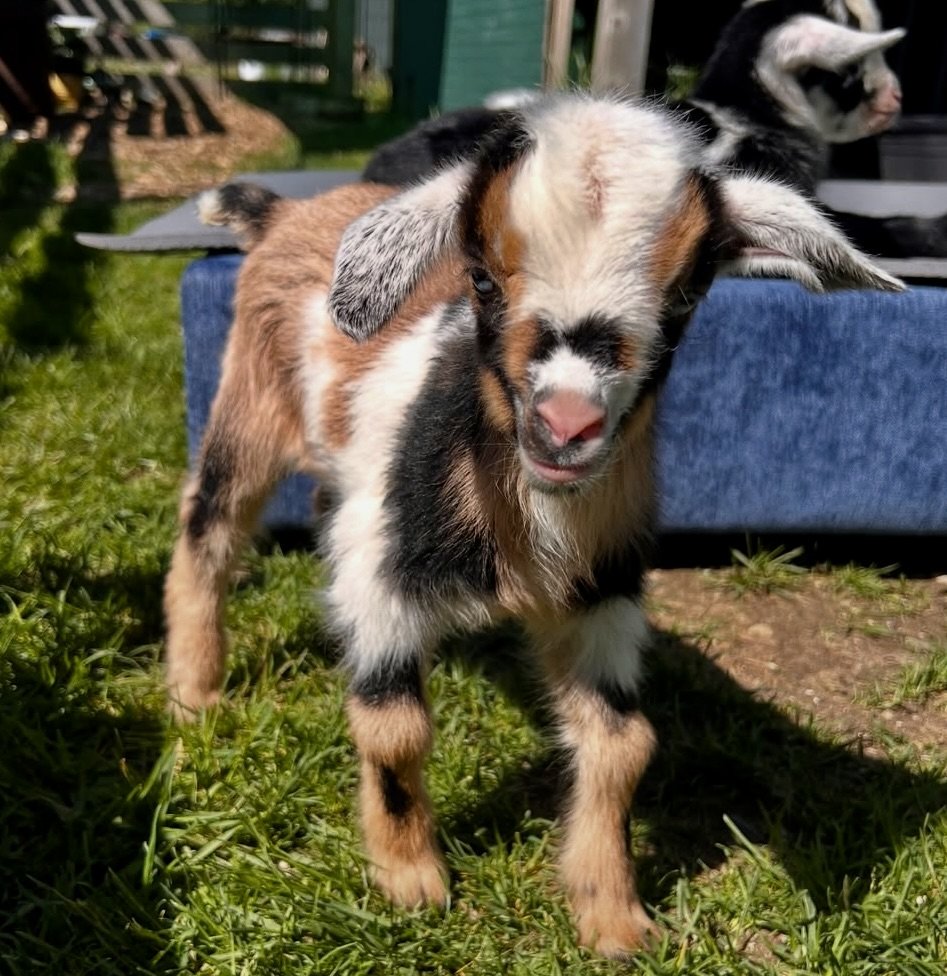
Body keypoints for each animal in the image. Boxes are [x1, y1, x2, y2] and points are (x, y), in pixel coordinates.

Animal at [164, 94, 901, 958]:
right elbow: (393, 728)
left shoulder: (602, 595)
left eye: (686, 295)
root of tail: (286, 212)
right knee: (207, 526)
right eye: (480, 278)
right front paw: (410, 882)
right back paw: (195, 696)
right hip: (249, 406)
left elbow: (623, 744)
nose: (566, 423)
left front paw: (613, 917)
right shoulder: (381, 582)